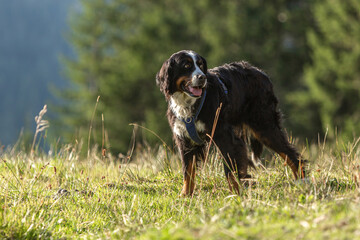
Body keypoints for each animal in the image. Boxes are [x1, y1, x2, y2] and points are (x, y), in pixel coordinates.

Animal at [156, 49, 306, 196]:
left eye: (200, 65)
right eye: (187, 65)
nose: (202, 77)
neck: (189, 104)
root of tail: (262, 73)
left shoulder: (223, 136)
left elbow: (229, 169)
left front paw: (235, 194)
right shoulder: (185, 140)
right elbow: (188, 171)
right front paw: (186, 195)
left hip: (264, 126)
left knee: (291, 154)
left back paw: (303, 182)